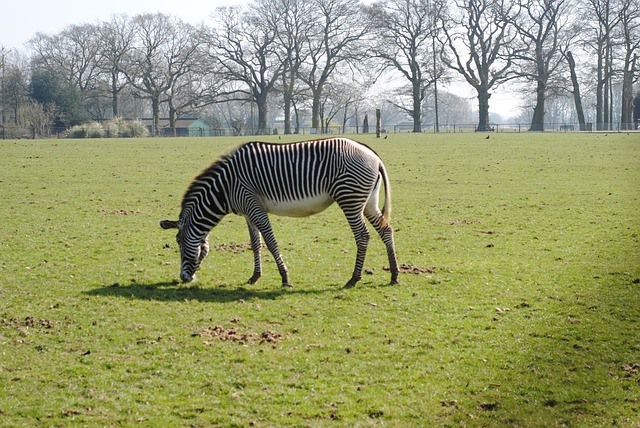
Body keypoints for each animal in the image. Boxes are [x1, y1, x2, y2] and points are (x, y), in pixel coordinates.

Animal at [161, 139, 400, 290]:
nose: (183, 278)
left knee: (363, 236)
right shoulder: (248, 213)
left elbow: (270, 241)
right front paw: (254, 277)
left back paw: (354, 279)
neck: (225, 188)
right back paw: (394, 275)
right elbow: (255, 243)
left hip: (350, 200)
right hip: (368, 201)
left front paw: (285, 278)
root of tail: (372, 154)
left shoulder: (254, 206)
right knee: (386, 230)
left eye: (179, 242)